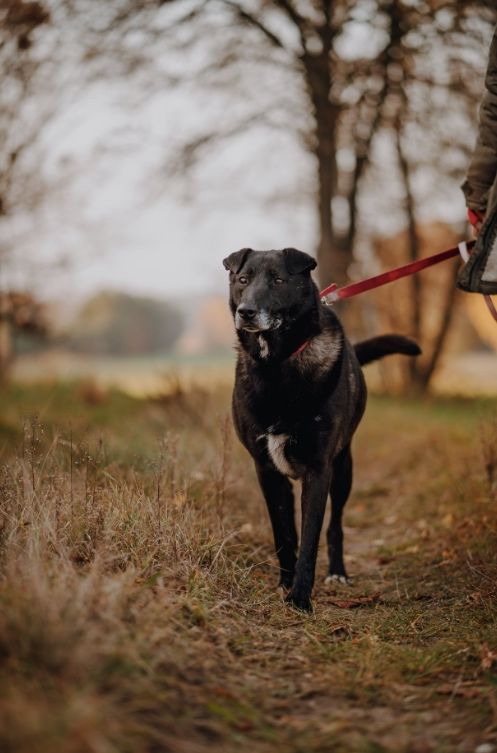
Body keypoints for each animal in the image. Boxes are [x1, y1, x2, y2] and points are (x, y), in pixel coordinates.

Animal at [223, 247, 420, 612]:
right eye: (243, 279)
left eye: (278, 280)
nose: (246, 312)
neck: (278, 365)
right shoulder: (266, 470)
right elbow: (284, 533)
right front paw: (285, 584)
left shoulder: (319, 469)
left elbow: (312, 535)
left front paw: (300, 597)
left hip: (343, 470)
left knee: (336, 524)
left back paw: (338, 572)